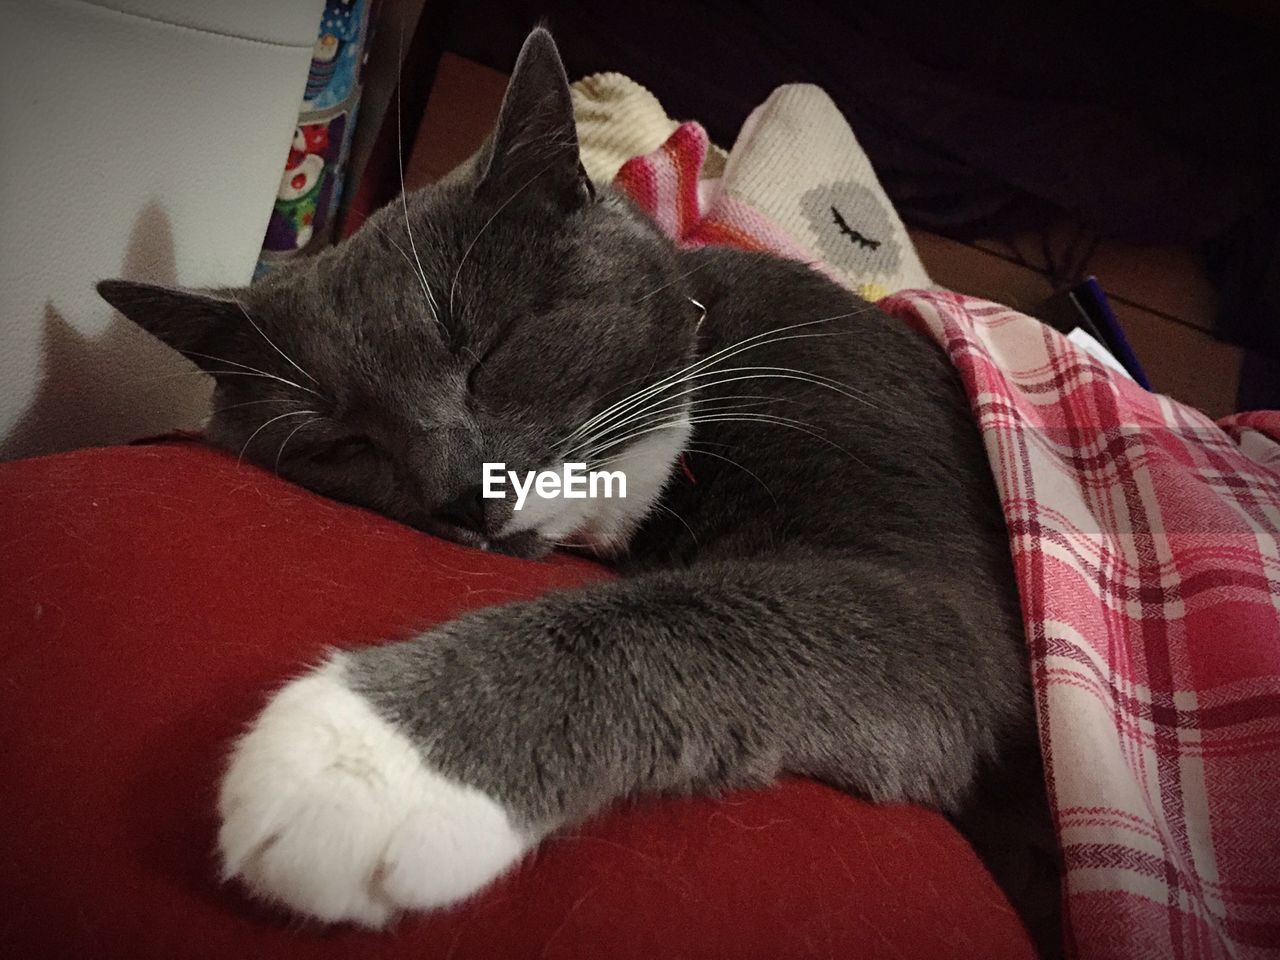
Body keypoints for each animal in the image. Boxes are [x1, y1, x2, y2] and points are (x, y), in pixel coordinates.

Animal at [97, 26, 1059, 957]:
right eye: (345, 444)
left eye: (489, 352)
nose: (463, 495)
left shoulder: (935, 597)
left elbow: (710, 610)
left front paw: (369, 759)